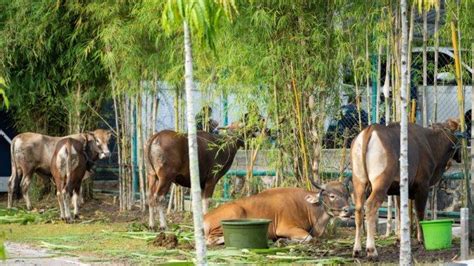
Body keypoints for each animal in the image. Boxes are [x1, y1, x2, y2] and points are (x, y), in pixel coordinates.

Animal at [204, 181, 352, 245]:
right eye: (332, 195)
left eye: (347, 195)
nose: (348, 210)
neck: (308, 207)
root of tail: (205, 217)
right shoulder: (285, 228)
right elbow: (308, 238)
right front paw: (282, 239)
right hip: (235, 212)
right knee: (210, 240)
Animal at [350, 119, 462, 258]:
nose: (459, 155)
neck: (433, 147)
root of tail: (368, 131)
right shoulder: (422, 185)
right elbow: (419, 213)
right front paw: (421, 239)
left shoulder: (398, 189)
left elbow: (400, 214)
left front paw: (399, 239)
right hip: (381, 181)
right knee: (370, 206)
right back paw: (371, 250)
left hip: (359, 181)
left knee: (358, 209)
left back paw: (356, 249)